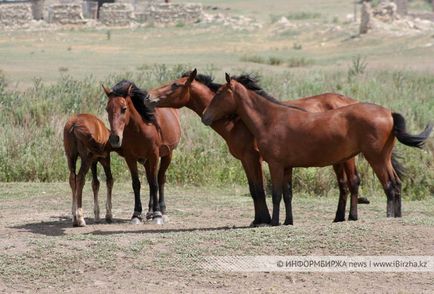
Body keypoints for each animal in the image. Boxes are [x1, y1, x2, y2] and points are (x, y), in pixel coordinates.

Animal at [103, 79, 181, 224]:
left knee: (160, 179)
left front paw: (157, 215)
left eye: (124, 109)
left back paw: (162, 211)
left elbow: (155, 184)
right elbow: (136, 184)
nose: (115, 138)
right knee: (150, 180)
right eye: (107, 109)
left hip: (167, 155)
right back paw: (150, 212)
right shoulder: (130, 158)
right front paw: (136, 214)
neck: (140, 129)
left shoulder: (154, 155)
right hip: (146, 161)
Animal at [147, 69, 366, 225]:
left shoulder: (253, 159)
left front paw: (264, 220)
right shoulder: (247, 161)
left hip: (347, 158)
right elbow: (255, 189)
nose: (149, 96)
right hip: (338, 159)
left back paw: (350, 216)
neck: (237, 120)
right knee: (343, 184)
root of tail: (351, 101)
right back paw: (339, 217)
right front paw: (259, 219)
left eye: (175, 85)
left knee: (353, 181)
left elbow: (259, 190)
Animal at [202, 73, 432, 225]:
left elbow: (275, 194)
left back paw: (388, 217)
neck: (270, 120)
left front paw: (274, 222)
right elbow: (287, 194)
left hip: (375, 158)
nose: (205, 117)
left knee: (390, 185)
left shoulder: (275, 165)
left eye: (220, 93)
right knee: (397, 183)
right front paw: (288, 221)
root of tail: (388, 113)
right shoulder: (287, 167)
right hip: (381, 157)